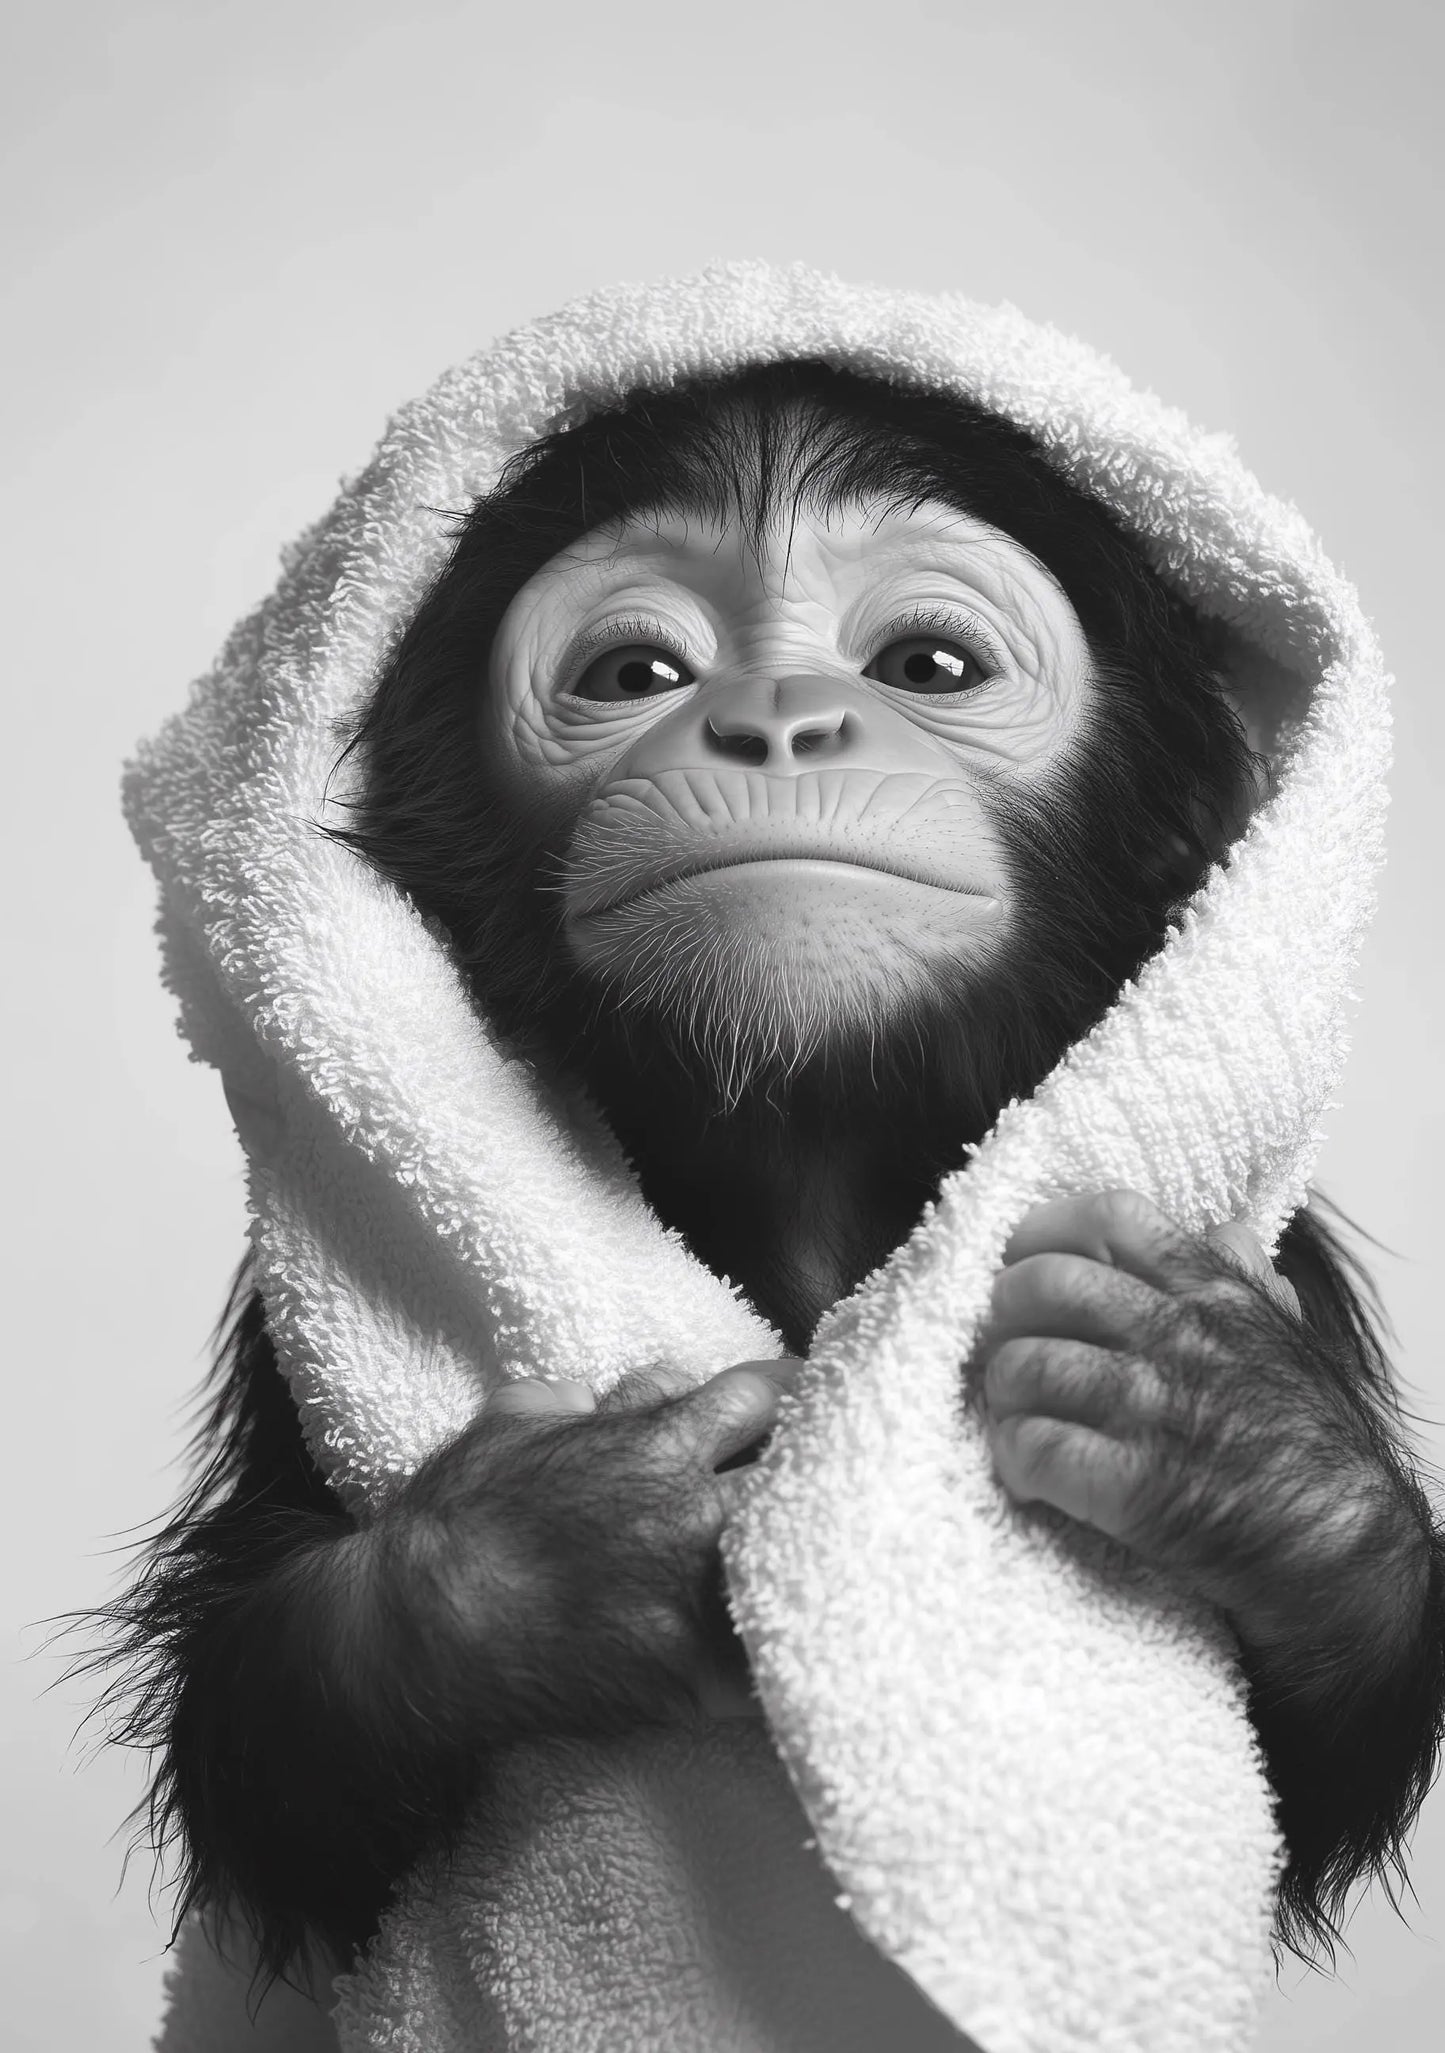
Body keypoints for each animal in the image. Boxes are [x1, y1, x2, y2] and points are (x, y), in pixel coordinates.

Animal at [105, 357, 1445, 1997]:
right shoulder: (275, 1344)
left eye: (927, 662)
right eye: (635, 672)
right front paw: (546, 1550)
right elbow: (266, 1731)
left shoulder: (1289, 1263)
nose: (778, 719)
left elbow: (1307, 1764)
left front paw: (1250, 1451)